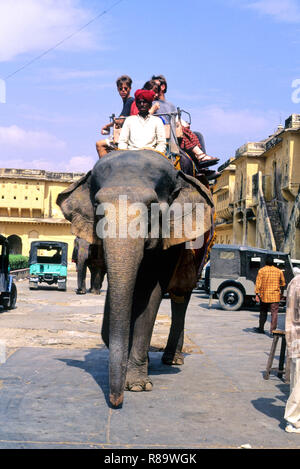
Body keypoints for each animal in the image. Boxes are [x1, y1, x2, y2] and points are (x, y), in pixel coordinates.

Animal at [57, 150, 214, 406]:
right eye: (97, 206)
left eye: (152, 206)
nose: (115, 401)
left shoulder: (169, 239)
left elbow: (151, 293)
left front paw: (138, 385)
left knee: (181, 296)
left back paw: (173, 359)